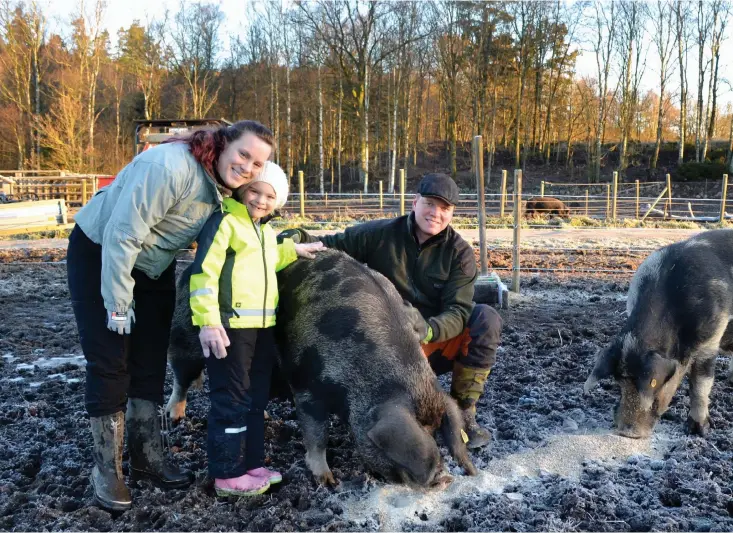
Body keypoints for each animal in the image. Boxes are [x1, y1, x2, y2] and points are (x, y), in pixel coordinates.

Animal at [164, 249, 480, 486]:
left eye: (436, 432)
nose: (444, 479)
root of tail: (190, 268)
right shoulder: (307, 386)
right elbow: (317, 434)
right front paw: (328, 481)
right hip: (185, 335)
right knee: (180, 374)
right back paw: (174, 416)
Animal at [584, 229, 732, 436]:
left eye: (653, 383)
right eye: (619, 381)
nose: (626, 432)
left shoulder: (710, 339)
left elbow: (700, 385)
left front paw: (698, 431)